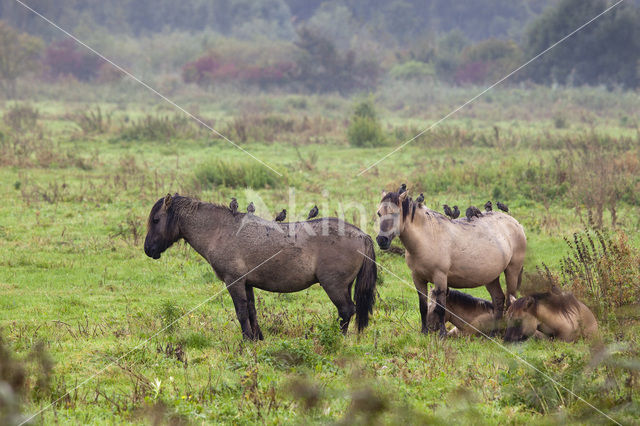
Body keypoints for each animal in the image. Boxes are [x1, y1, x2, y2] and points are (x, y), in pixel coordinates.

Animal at [142, 193, 378, 340]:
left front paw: (246, 340)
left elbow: (241, 312)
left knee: (346, 310)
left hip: (334, 286)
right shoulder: (247, 284)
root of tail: (362, 235)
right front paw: (257, 338)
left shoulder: (234, 282)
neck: (221, 230)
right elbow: (252, 311)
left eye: (156, 220)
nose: (148, 249)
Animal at [376, 191, 524, 338]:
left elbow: (441, 307)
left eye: (395, 213)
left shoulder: (440, 277)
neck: (428, 237)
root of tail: (516, 223)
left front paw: (442, 334)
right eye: (379, 213)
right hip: (491, 277)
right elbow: (423, 306)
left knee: (510, 301)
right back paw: (493, 333)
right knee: (498, 300)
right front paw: (424, 332)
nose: (381, 240)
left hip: (512, 271)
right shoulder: (417, 278)